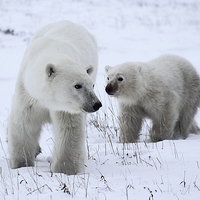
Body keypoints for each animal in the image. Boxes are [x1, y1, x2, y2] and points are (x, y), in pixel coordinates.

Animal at [7, 19, 101, 174]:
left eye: (92, 85)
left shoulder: (65, 108)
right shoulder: (28, 94)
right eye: (77, 85)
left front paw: (65, 170)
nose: (96, 104)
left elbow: (69, 130)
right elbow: (24, 124)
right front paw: (21, 164)